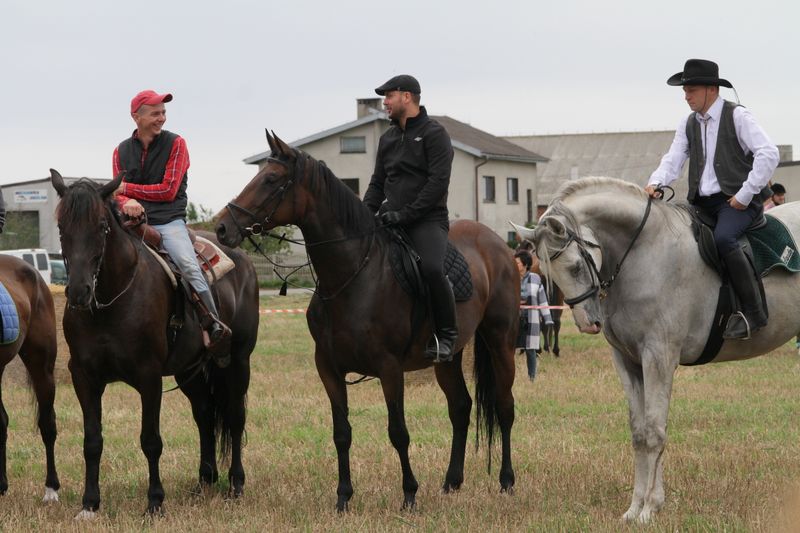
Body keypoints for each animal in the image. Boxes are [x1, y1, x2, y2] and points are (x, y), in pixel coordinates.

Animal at [49, 169, 260, 516]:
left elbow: (151, 440)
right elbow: (92, 441)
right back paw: (204, 481)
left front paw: (155, 502)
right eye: (61, 227)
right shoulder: (84, 376)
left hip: (238, 361)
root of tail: (243, 260)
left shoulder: (148, 376)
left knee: (234, 416)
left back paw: (236, 484)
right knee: (204, 415)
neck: (113, 300)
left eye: (102, 226)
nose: (79, 292)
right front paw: (89, 504)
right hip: (190, 370)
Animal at [214, 131, 520, 510]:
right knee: (461, 408)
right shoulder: (328, 368)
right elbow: (341, 433)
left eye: (270, 180)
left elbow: (398, 432)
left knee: (505, 407)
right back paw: (451, 483)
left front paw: (409, 494)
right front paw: (343, 497)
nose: (222, 228)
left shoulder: (389, 368)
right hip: (448, 358)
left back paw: (506, 480)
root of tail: (499, 245)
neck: (354, 276)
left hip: (500, 341)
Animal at [512, 178, 800, 524]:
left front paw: (649, 509)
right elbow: (640, 432)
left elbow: (655, 431)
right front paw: (636, 508)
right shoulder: (628, 361)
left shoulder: (658, 358)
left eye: (577, 266)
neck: (645, 253)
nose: (589, 323)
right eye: (550, 273)